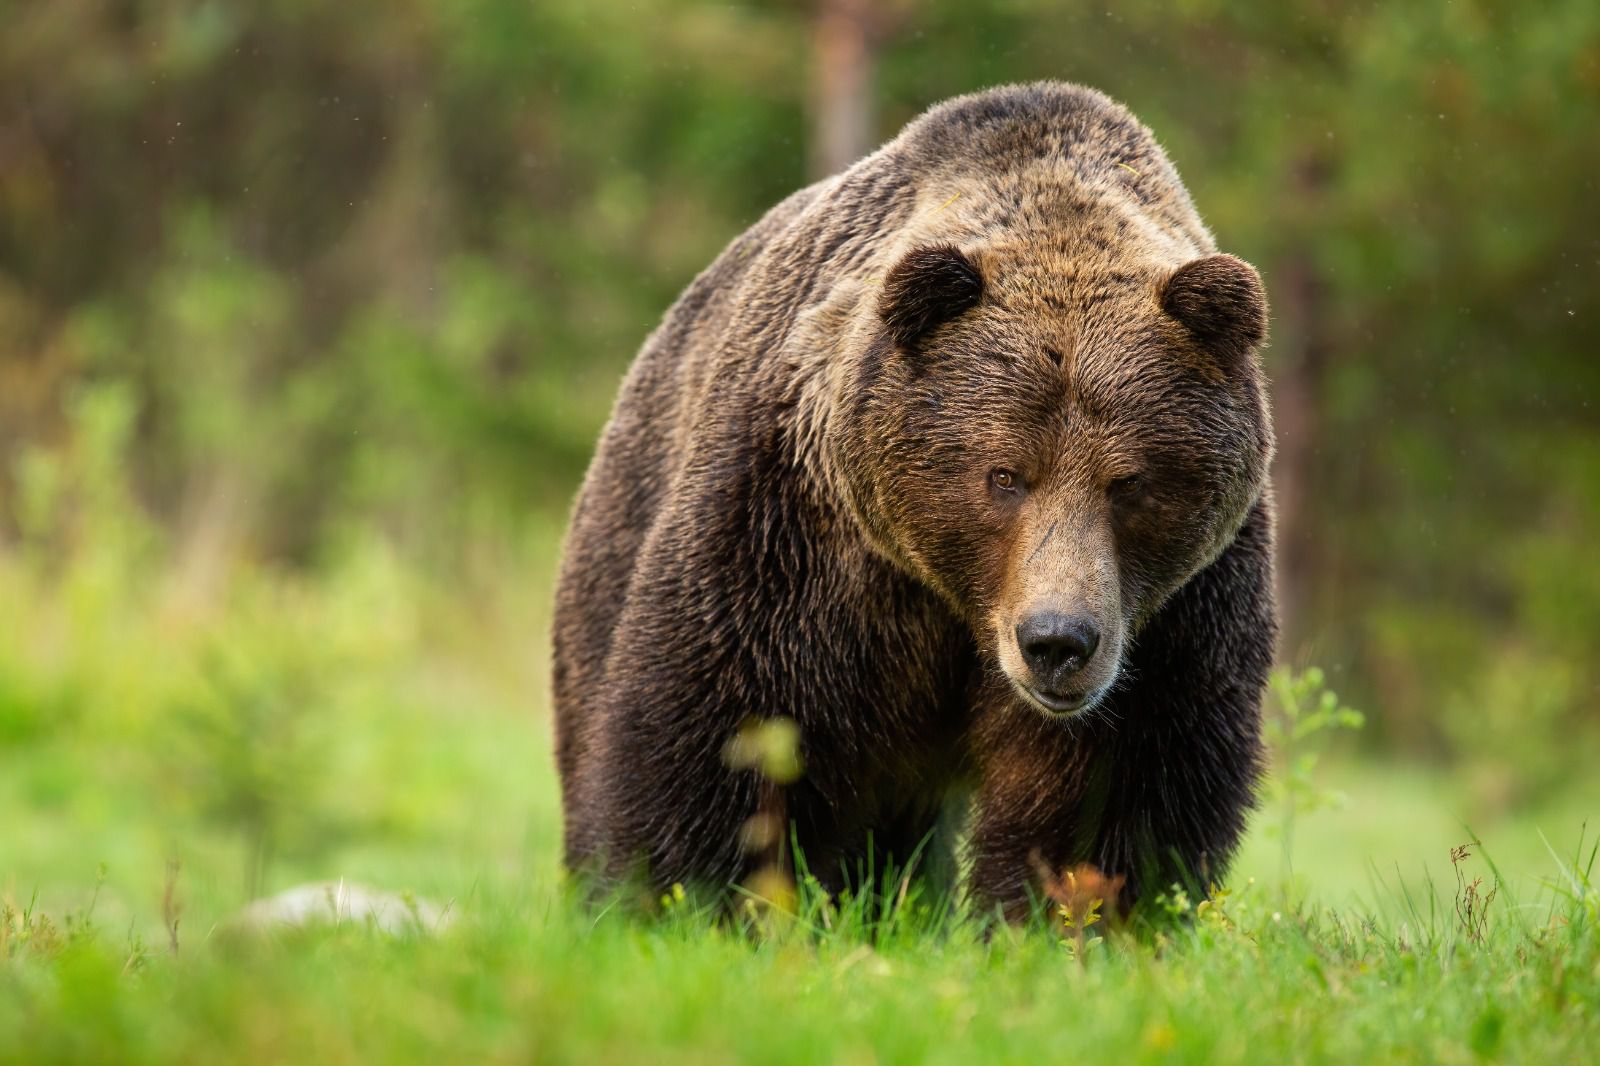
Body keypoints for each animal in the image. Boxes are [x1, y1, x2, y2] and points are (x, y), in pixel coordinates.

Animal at [556, 83, 1280, 915]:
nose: (1057, 641)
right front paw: (669, 895)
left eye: (1128, 482)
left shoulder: (1175, 616)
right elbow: (719, 727)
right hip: (620, 527)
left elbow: (1114, 795)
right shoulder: (797, 535)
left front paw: (1063, 917)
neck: (959, 604)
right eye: (1005, 474)